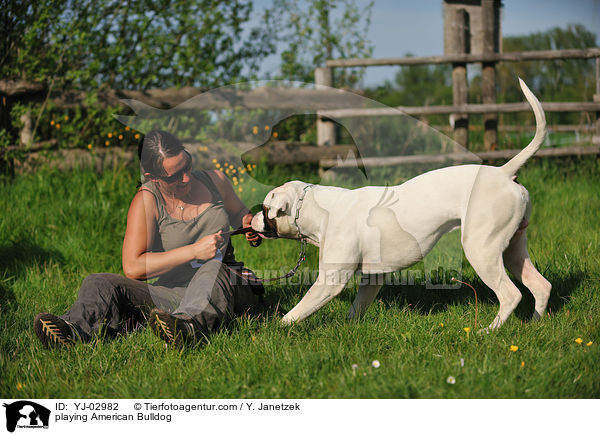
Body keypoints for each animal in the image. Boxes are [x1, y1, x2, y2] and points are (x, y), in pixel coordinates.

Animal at [251, 79, 552, 330]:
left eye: (265, 209)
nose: (250, 218)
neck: (318, 209)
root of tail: (503, 172)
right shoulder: (372, 278)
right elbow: (356, 309)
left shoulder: (330, 281)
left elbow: (296, 312)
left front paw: (274, 330)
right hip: (513, 249)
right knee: (541, 286)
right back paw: (534, 325)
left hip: (482, 250)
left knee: (511, 295)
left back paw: (488, 331)